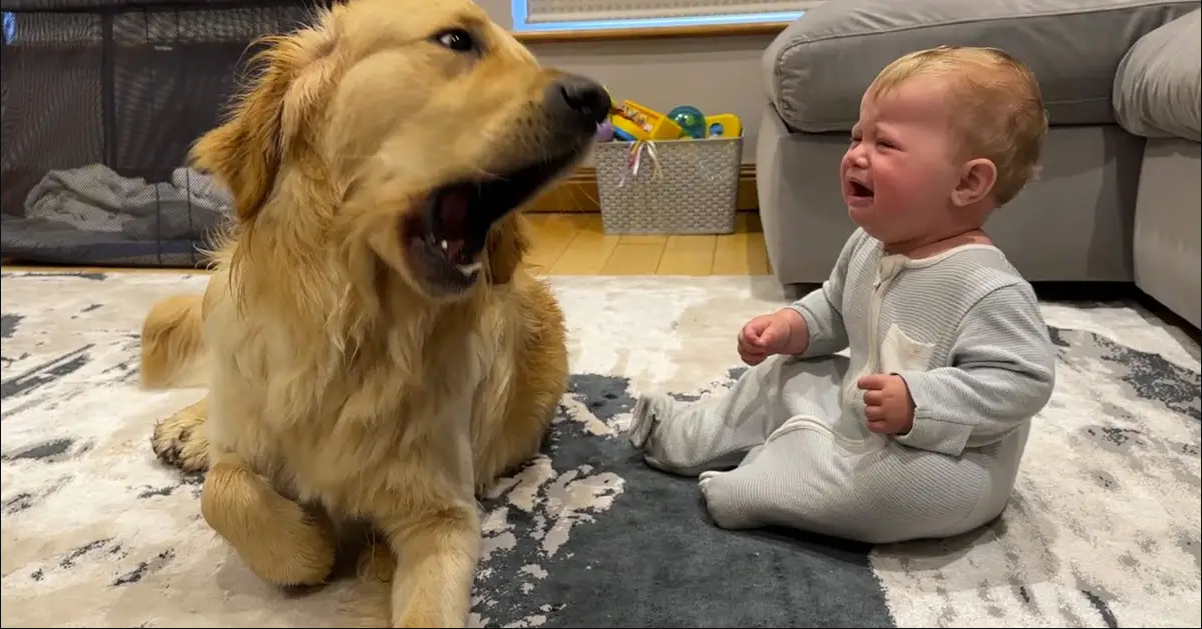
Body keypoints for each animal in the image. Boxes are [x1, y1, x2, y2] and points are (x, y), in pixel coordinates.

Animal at [140, 0, 610, 625]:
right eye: (457, 40)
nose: (597, 99)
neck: (353, 330)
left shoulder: (443, 515)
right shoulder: (253, 433)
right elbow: (225, 488)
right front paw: (307, 547)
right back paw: (189, 429)